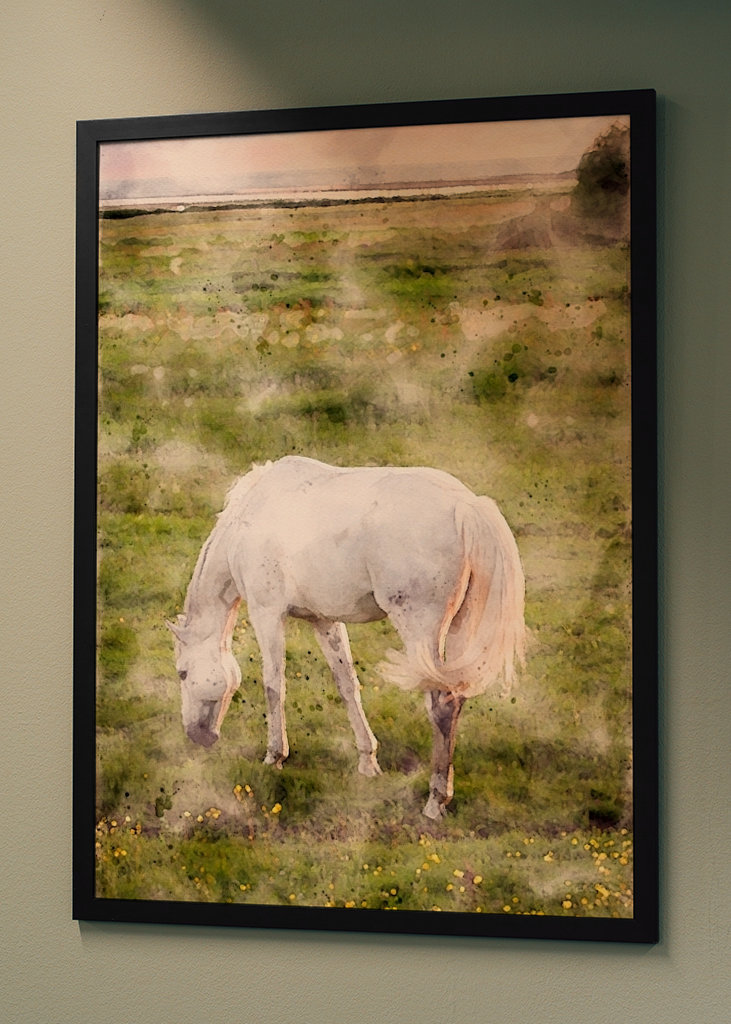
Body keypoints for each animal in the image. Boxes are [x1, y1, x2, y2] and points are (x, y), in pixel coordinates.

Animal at [167, 456, 525, 818]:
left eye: (183, 673)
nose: (196, 736)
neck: (251, 515)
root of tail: (465, 505)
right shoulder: (325, 620)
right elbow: (347, 684)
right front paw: (367, 761)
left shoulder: (266, 613)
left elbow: (273, 684)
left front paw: (275, 756)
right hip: (458, 631)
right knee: (457, 696)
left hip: (421, 631)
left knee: (442, 705)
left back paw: (435, 801)